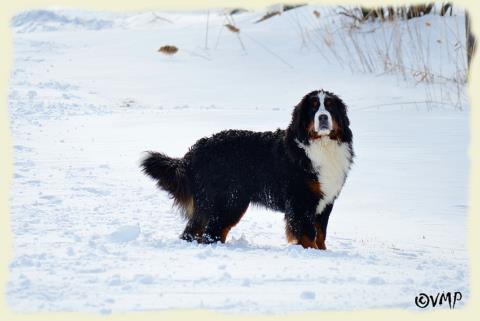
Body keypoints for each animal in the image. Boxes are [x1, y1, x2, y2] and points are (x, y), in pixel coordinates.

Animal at [141, 89, 354, 249]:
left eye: (330, 106)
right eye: (313, 108)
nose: (323, 117)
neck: (321, 146)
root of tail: (197, 150)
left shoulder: (325, 202)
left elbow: (321, 234)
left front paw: (323, 252)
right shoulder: (301, 201)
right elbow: (309, 235)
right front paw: (313, 254)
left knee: (197, 231)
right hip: (227, 201)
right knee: (210, 233)